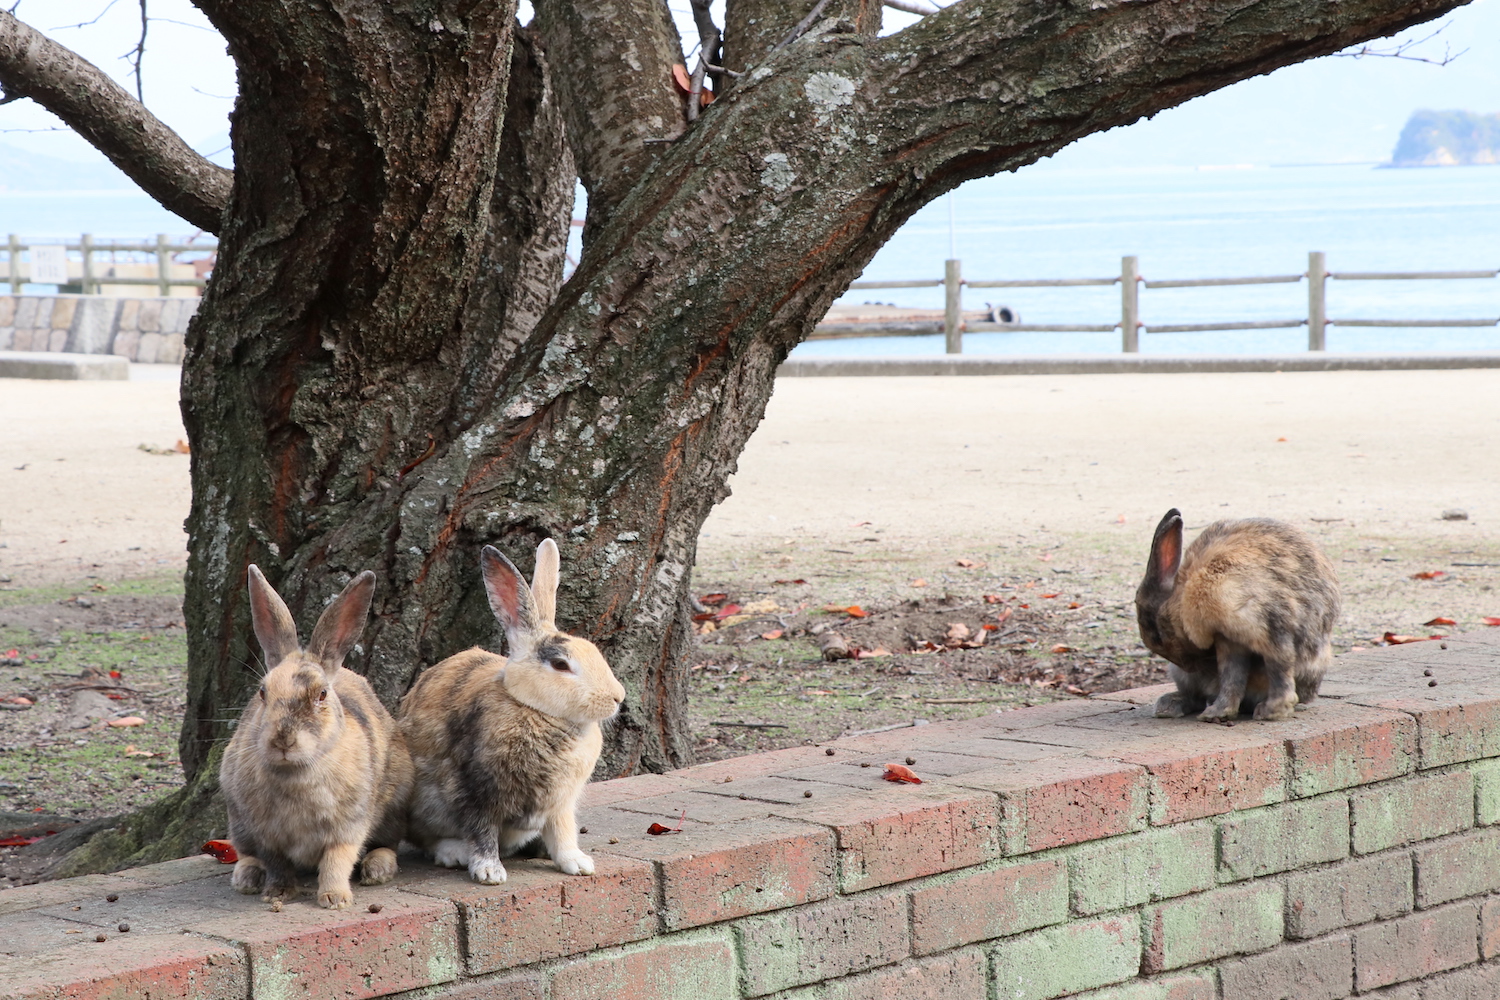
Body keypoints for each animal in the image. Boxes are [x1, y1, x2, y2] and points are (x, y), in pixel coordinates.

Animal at [219, 566, 414, 911]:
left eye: (321, 694)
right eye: (262, 692)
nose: (283, 739)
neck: (295, 773)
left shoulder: (348, 827)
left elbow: (338, 859)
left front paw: (335, 899)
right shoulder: (265, 833)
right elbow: (276, 862)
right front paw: (278, 893)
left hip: (396, 804)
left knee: (386, 844)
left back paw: (378, 869)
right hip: (237, 820)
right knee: (246, 852)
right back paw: (247, 878)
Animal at [396, 539, 624, 881]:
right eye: (560, 664)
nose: (617, 698)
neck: (536, 710)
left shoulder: (561, 803)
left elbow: (563, 831)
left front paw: (578, 864)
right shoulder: (476, 789)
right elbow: (481, 831)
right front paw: (489, 872)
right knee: (426, 837)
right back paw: (454, 853)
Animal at [1134, 509, 1338, 719]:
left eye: (1157, 635)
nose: (1190, 667)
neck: (1182, 596)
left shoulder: (1264, 627)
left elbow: (1273, 670)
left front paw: (1271, 711)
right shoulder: (1229, 637)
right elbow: (1233, 677)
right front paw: (1219, 712)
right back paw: (1172, 705)